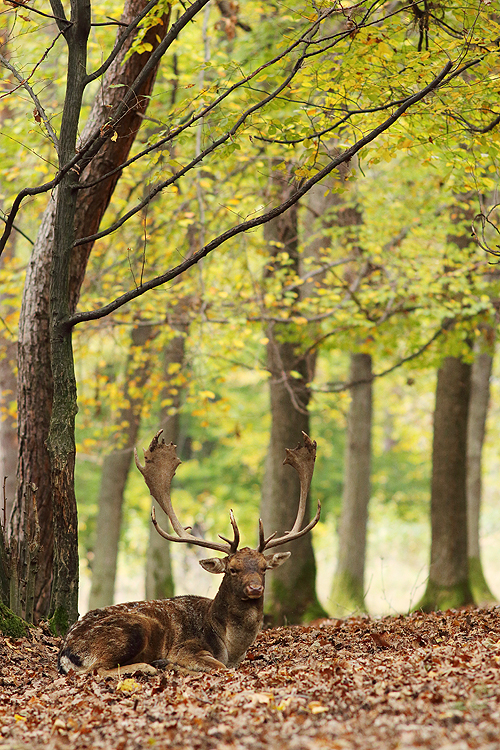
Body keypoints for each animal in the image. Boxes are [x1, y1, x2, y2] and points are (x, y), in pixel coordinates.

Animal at [57, 428, 320, 676]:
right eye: (233, 569)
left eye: (264, 568)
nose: (255, 588)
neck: (231, 646)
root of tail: (66, 653)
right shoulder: (187, 647)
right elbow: (219, 667)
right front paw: (173, 664)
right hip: (133, 630)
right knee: (96, 670)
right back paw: (151, 666)